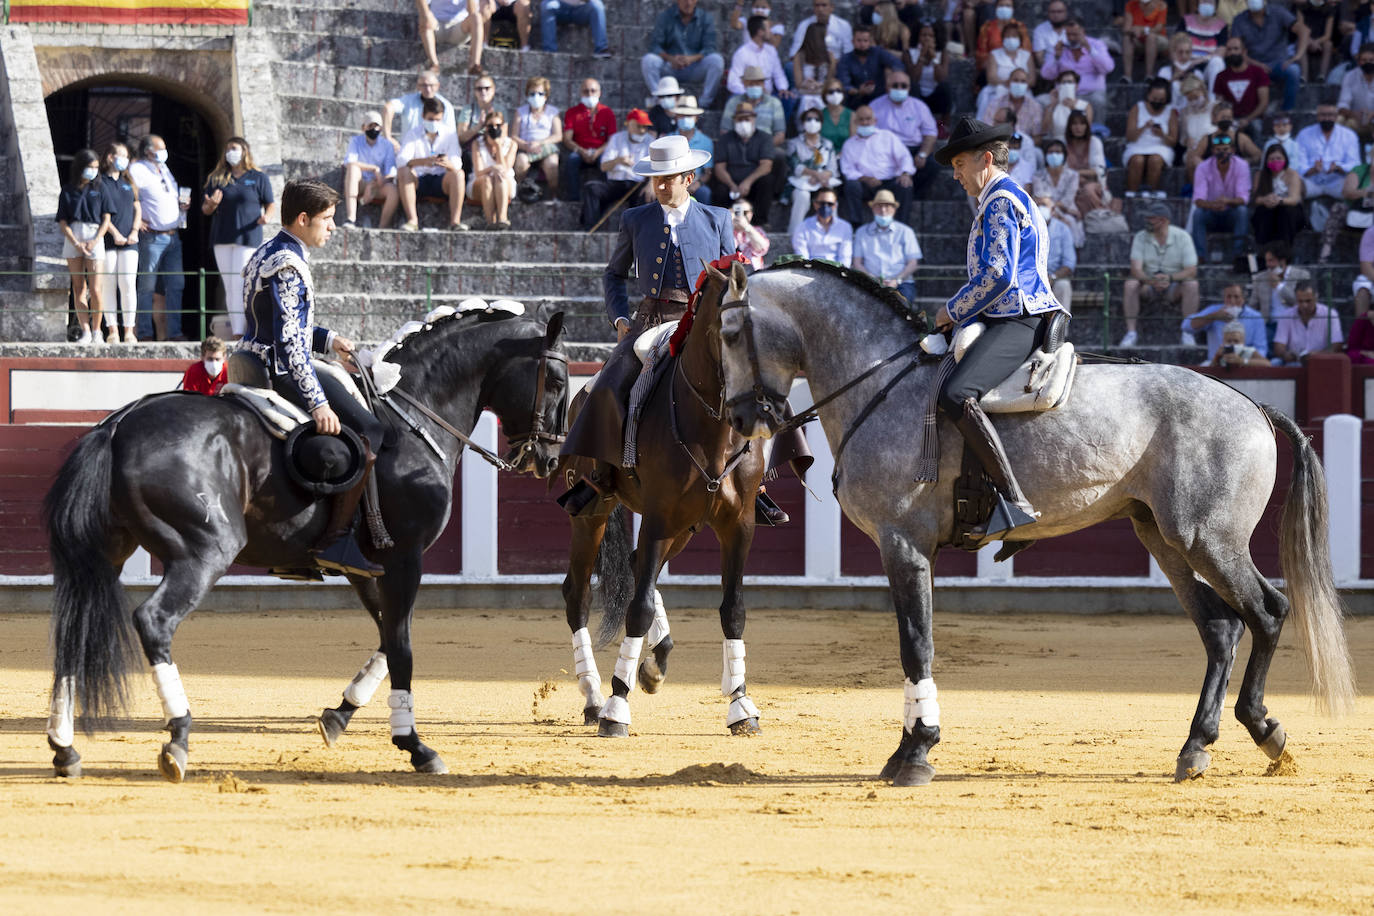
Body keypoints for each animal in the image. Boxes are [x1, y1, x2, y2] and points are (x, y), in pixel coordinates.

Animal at [44, 307, 568, 780]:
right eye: (558, 381)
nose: (548, 458)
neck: (414, 419)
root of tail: (118, 425)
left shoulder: (368, 569)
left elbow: (388, 637)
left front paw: (338, 716)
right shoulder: (404, 558)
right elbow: (401, 644)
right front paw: (415, 746)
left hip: (106, 552)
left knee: (75, 629)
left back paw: (65, 749)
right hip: (204, 552)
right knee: (154, 621)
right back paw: (177, 739)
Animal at [557, 260, 774, 741]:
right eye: (730, 331)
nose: (761, 405)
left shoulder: (739, 525)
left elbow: (734, 609)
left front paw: (740, 704)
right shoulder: (658, 517)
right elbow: (636, 608)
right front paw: (617, 706)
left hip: (686, 526)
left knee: (638, 563)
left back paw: (654, 666)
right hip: (592, 515)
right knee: (578, 594)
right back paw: (594, 697)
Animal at [714, 263, 1357, 791]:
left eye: (728, 335)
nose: (741, 418)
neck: (878, 382)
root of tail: (1253, 405)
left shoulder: (904, 544)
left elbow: (916, 642)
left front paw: (917, 753)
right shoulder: (907, 551)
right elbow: (913, 642)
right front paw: (906, 749)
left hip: (1209, 539)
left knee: (1267, 611)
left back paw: (1263, 729)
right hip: (1162, 537)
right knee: (1222, 628)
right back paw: (1197, 746)